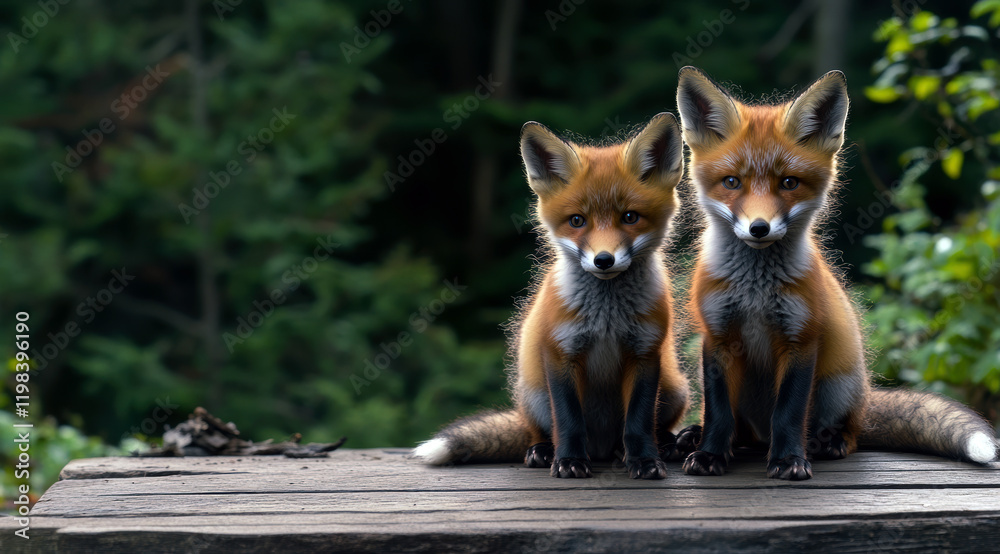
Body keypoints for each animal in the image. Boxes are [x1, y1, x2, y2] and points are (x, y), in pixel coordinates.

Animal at [413, 113, 691, 479]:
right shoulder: (560, 352)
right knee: (540, 432)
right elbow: (569, 421)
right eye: (577, 221)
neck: (608, 319)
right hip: (533, 394)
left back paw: (659, 446)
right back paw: (543, 451)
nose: (604, 260)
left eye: (630, 217)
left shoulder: (646, 353)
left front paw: (645, 460)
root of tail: (601, 448)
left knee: (651, 429)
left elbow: (639, 422)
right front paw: (570, 461)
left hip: (675, 388)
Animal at [674, 66, 1000, 480]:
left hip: (838, 384)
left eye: (789, 183)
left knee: (846, 433)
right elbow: (718, 413)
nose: (759, 228)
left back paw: (826, 443)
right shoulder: (717, 336)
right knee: (740, 431)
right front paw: (710, 454)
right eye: (732, 182)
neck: (755, 293)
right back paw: (699, 438)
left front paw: (789, 460)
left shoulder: (800, 338)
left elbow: (789, 413)